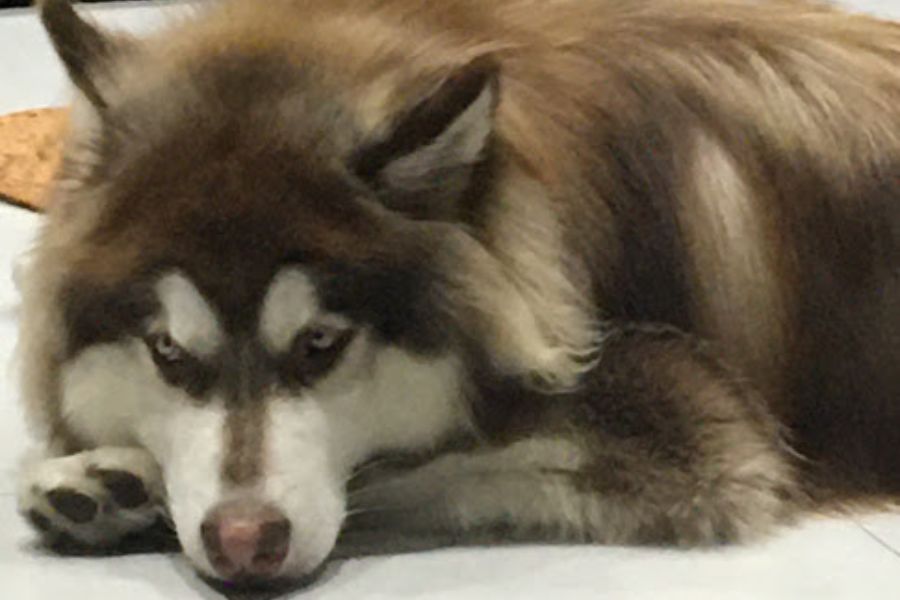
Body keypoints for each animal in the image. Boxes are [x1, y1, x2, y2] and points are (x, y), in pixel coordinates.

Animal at [15, 0, 900, 588]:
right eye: (167, 351)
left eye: (320, 344)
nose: (242, 544)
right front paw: (109, 481)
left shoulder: (703, 428)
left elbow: (405, 470)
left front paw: (123, 482)